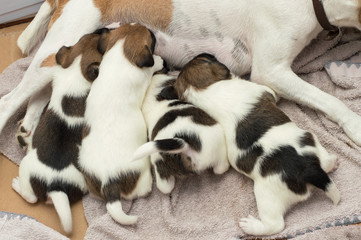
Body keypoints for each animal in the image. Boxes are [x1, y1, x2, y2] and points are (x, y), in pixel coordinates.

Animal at [11, 31, 103, 234]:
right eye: (87, 36)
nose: (104, 30)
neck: (77, 70)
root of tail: (55, 186)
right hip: (81, 181)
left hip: (25, 166)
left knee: (31, 197)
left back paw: (16, 185)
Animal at [78, 23, 164, 226]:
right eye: (151, 37)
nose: (150, 28)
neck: (120, 56)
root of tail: (108, 182)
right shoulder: (145, 74)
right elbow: (152, 67)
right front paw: (158, 61)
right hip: (142, 177)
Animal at [174, 53, 340, 235]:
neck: (203, 91)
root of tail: (307, 169)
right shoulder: (262, 90)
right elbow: (272, 92)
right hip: (267, 196)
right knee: (275, 225)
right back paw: (251, 226)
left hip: (310, 139)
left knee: (326, 163)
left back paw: (333, 161)